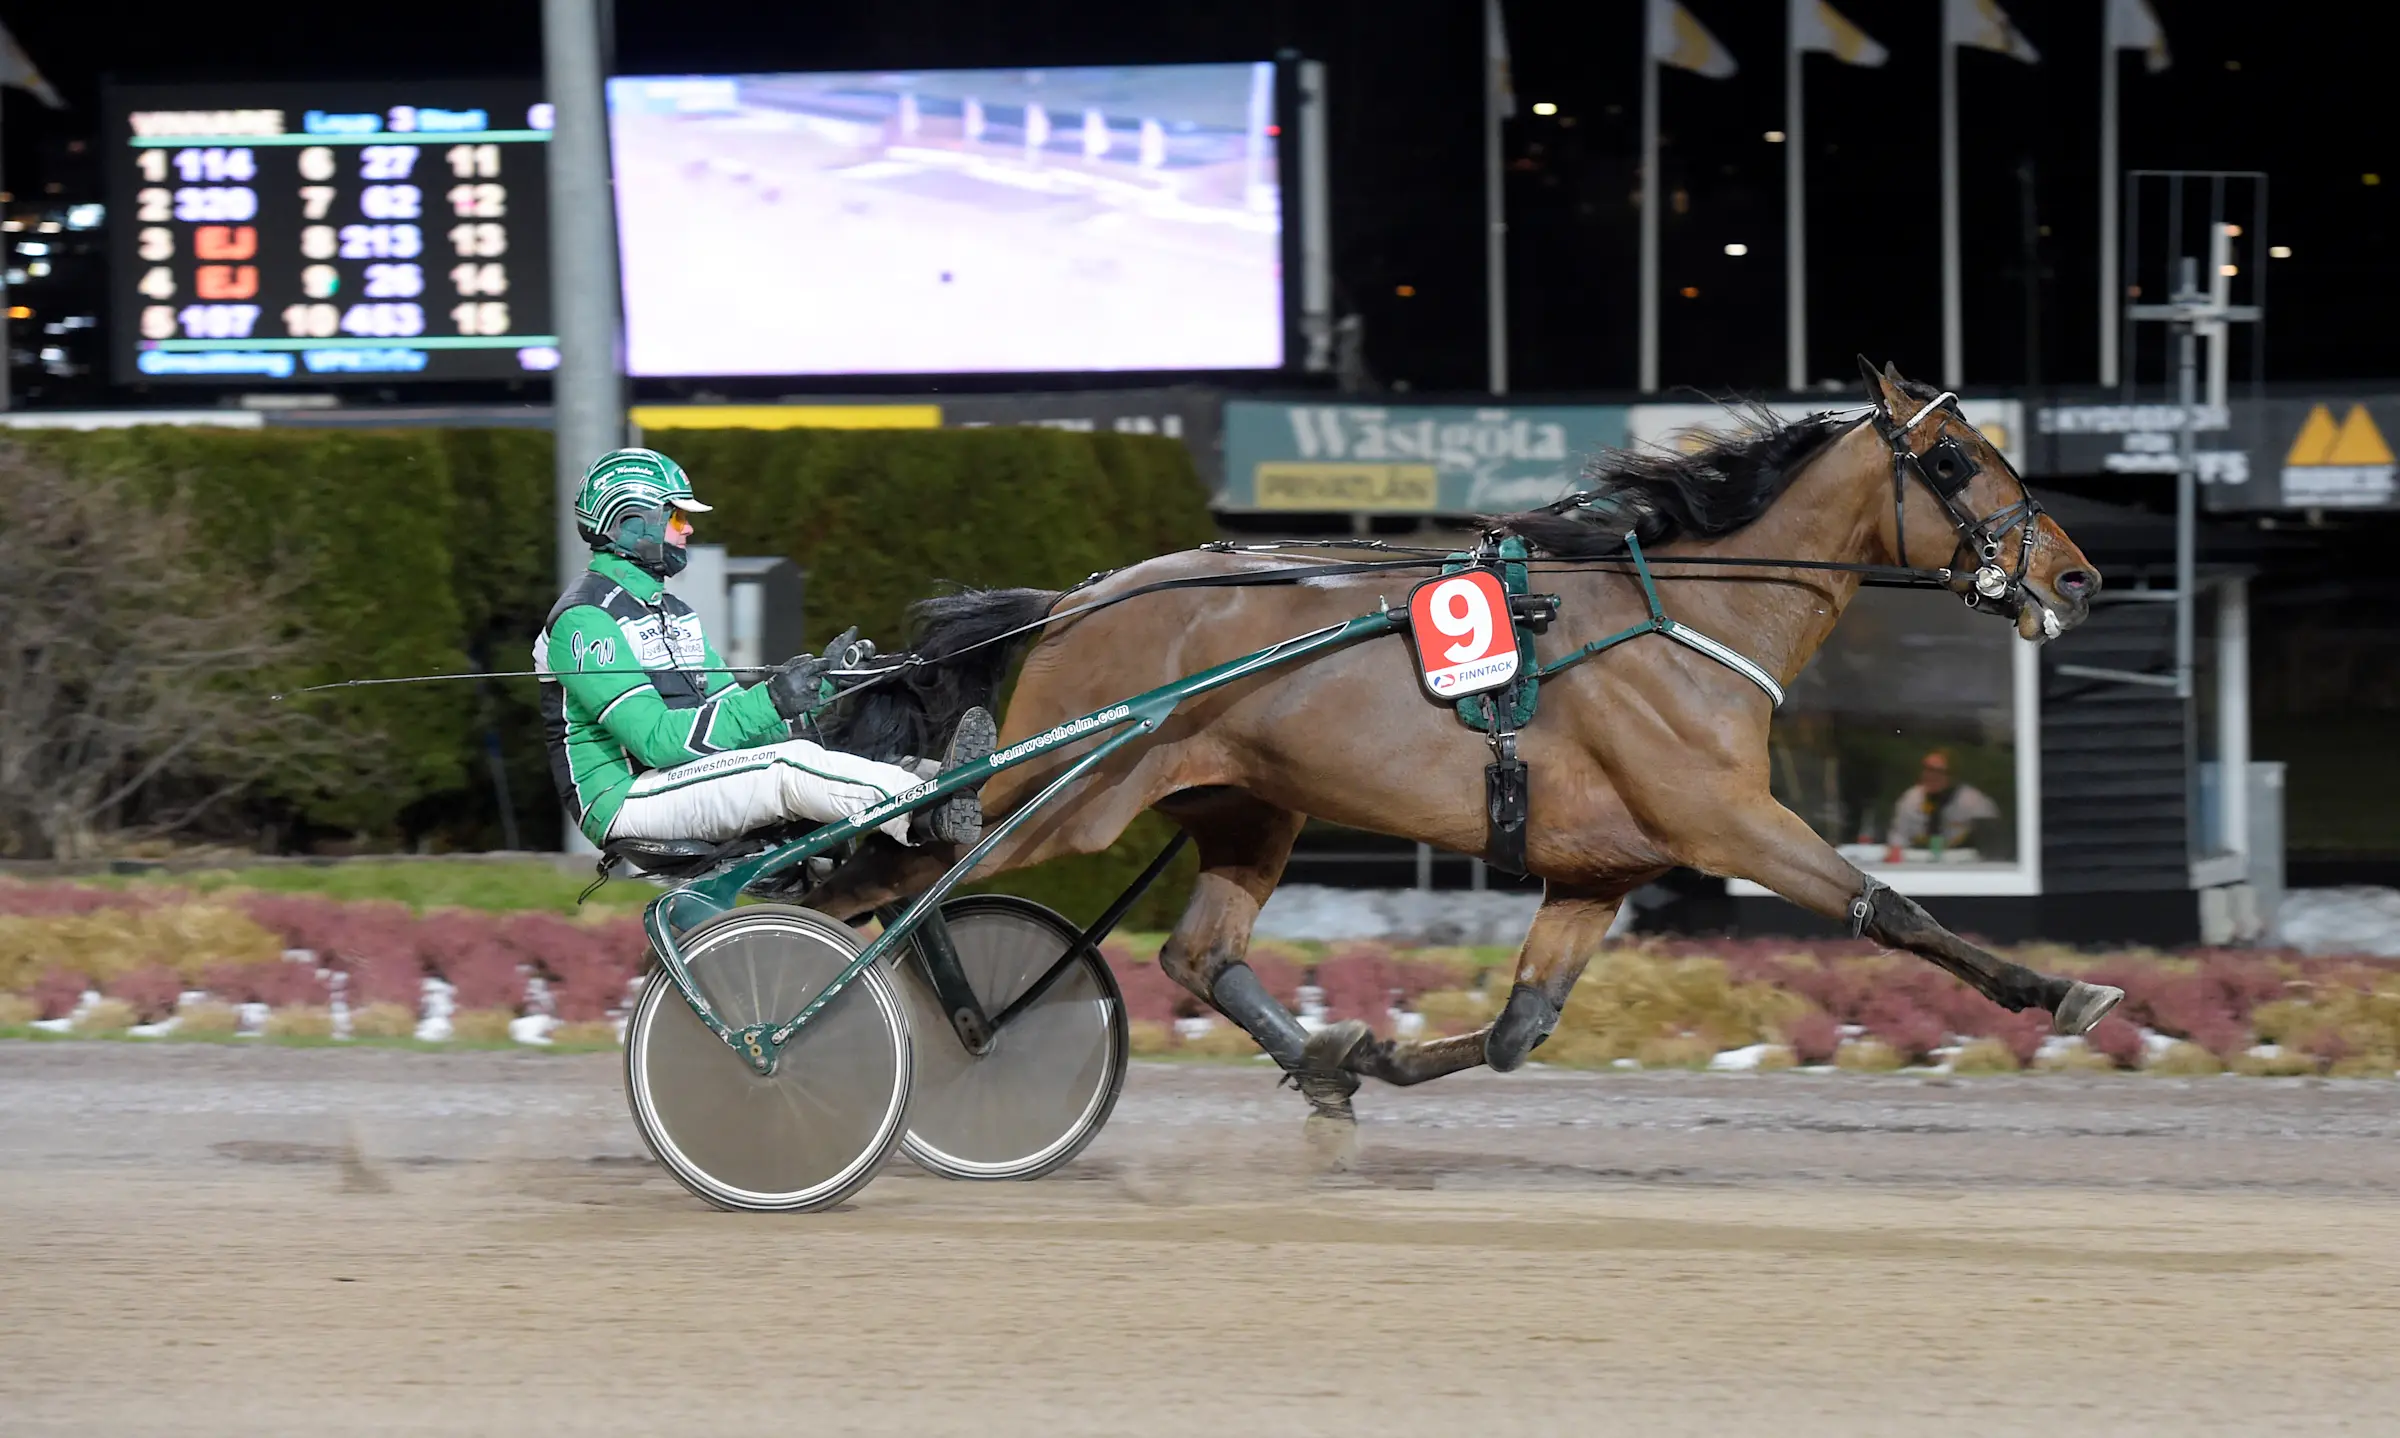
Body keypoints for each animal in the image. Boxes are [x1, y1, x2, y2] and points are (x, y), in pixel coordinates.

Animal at [811, 364, 2121, 1133]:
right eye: (1953, 461)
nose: (2076, 577)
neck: (1684, 614)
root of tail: (1076, 598)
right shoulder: (1727, 819)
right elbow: (1888, 907)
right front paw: (2062, 989)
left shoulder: (1600, 869)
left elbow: (1516, 1030)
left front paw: (1369, 1056)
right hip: (1054, 799)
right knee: (876, 882)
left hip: (1247, 807)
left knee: (1192, 951)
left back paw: (1313, 1062)